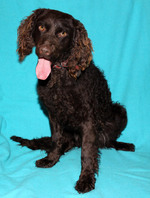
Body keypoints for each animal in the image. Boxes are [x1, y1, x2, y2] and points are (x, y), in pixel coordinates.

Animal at [10, 8, 135, 193]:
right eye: (41, 27)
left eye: (62, 33)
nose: (44, 51)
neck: (60, 75)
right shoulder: (54, 115)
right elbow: (56, 139)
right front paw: (52, 159)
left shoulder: (89, 120)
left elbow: (87, 152)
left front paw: (86, 179)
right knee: (65, 142)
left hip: (120, 112)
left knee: (106, 141)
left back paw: (123, 145)